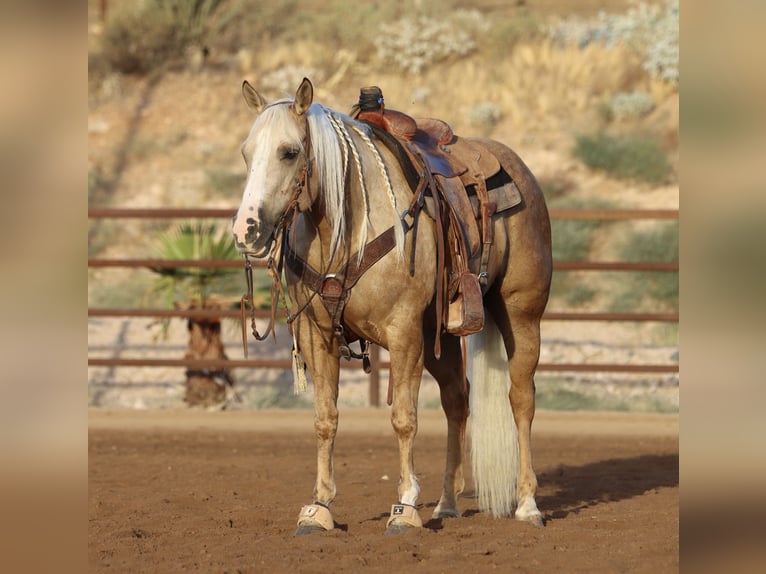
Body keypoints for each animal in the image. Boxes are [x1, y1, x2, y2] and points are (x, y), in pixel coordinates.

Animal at [232, 78, 552, 535]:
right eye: (246, 151)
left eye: (289, 151)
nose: (247, 229)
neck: (345, 230)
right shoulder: (317, 337)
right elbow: (325, 419)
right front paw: (319, 507)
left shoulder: (403, 334)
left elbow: (404, 418)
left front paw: (405, 507)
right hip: (440, 338)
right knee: (457, 400)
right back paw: (447, 504)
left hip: (522, 313)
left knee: (521, 398)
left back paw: (527, 505)